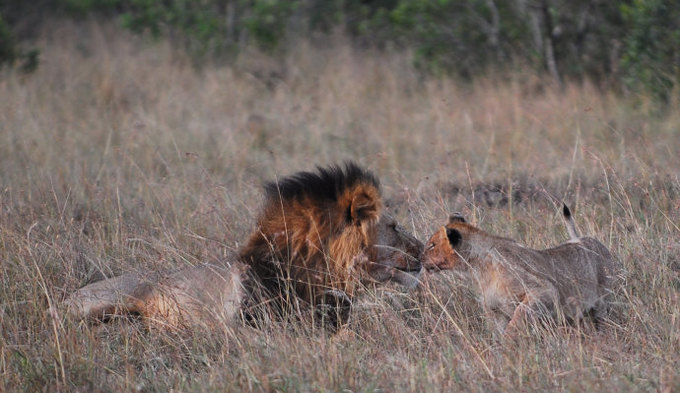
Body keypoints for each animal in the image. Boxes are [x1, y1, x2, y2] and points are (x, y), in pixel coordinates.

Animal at [422, 204, 620, 336]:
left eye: (432, 245)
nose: (420, 257)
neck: (478, 266)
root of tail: (583, 238)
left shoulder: (544, 290)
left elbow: (519, 316)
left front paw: (510, 338)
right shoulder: (494, 308)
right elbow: (497, 331)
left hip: (602, 300)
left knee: (601, 320)